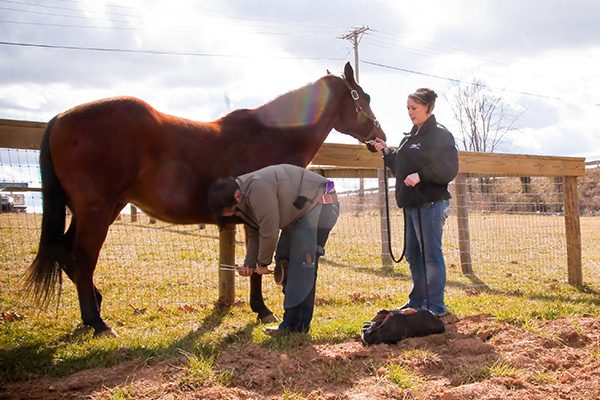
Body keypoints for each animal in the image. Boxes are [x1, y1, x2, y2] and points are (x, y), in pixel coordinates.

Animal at [25, 62, 386, 336]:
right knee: (82, 257)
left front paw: (260, 309)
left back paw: (95, 308)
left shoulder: (251, 219)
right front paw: (264, 310)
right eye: (364, 97)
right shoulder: (261, 218)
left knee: (66, 252)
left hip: (98, 209)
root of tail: (60, 119)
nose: (380, 136)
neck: (270, 134)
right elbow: (259, 266)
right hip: (96, 211)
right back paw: (98, 323)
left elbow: (254, 264)